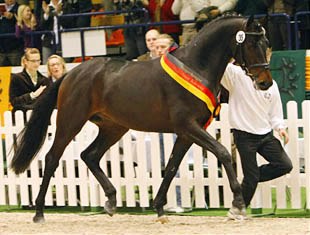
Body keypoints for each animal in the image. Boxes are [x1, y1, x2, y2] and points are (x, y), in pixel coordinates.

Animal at [10, 15, 272, 223]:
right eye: (252, 43)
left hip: (114, 127)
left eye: (266, 43)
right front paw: (238, 205)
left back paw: (111, 202)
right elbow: (224, 153)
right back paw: (39, 212)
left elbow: (172, 167)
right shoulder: (189, 126)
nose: (265, 83)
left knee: (89, 155)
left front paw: (160, 208)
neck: (196, 67)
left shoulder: (187, 133)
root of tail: (72, 73)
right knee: (52, 158)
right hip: (70, 121)